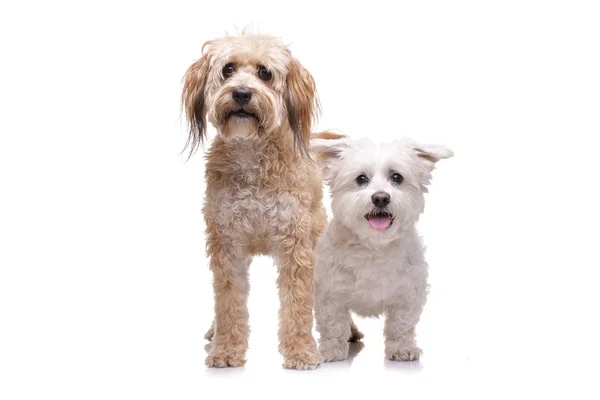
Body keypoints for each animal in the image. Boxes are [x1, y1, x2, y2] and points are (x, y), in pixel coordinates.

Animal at [312, 135, 452, 362]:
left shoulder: (408, 292)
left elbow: (401, 324)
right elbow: (333, 323)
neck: (374, 245)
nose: (380, 198)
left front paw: (402, 348)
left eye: (397, 177)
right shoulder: (330, 291)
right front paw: (331, 349)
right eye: (361, 179)